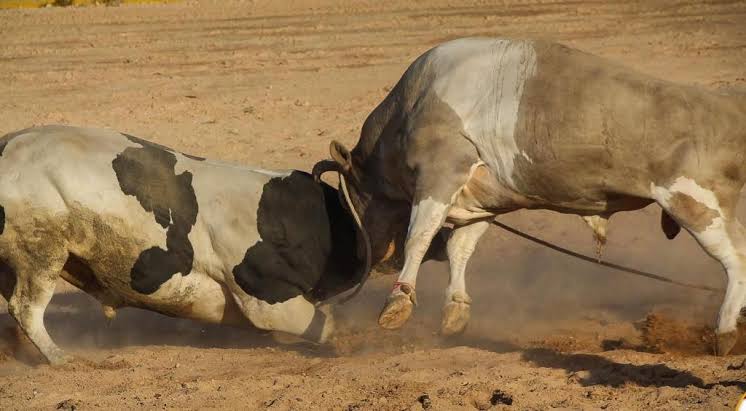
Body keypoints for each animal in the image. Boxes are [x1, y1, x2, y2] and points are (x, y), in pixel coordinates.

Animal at [312, 37, 744, 356]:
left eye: (350, 197)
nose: (371, 259)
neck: (413, 105)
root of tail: (726, 108)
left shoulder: (440, 175)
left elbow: (420, 236)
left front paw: (398, 301)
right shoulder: (480, 202)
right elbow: (459, 249)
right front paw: (455, 310)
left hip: (696, 205)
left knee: (735, 258)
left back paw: (725, 331)